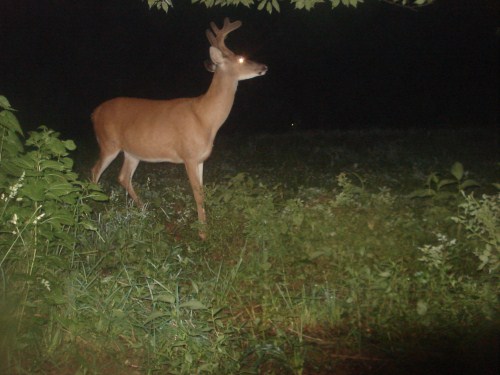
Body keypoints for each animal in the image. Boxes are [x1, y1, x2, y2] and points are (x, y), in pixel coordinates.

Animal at [91, 17, 268, 239]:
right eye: (242, 59)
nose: (264, 66)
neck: (205, 117)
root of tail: (94, 113)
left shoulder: (201, 159)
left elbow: (203, 192)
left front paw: (205, 227)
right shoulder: (188, 156)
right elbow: (197, 194)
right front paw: (202, 234)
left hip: (132, 152)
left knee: (123, 176)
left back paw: (144, 210)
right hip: (108, 143)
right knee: (94, 171)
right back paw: (93, 209)